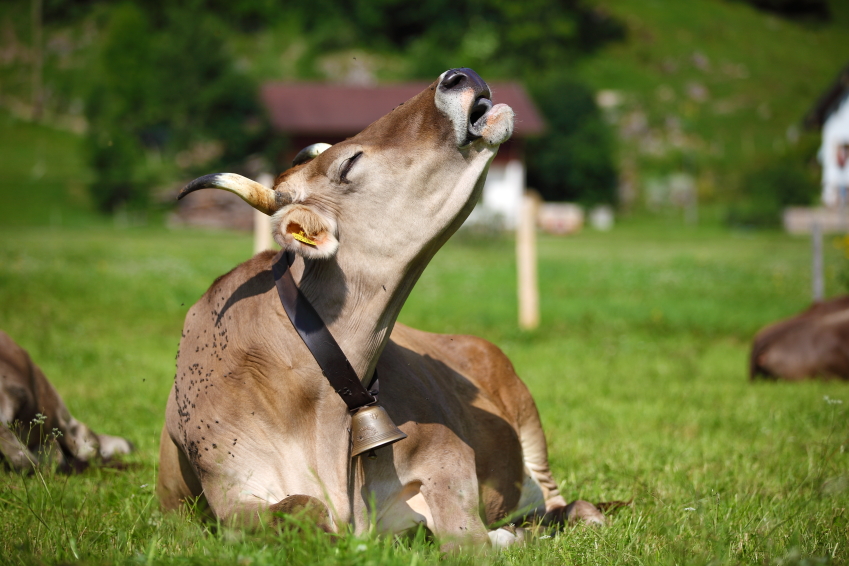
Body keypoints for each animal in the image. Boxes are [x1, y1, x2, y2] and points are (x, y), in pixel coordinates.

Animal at [154, 66, 604, 552]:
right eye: (349, 164)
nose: (458, 75)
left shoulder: (445, 450)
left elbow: (465, 533)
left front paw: (500, 535)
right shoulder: (231, 489)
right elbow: (302, 507)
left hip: (529, 423)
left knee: (567, 503)